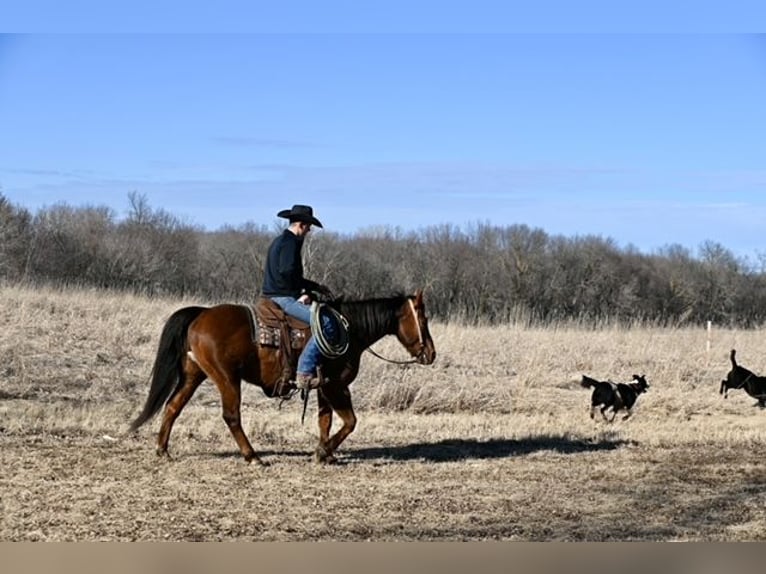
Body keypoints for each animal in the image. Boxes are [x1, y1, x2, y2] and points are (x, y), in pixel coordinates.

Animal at [129, 290, 436, 466]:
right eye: (423, 319)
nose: (431, 354)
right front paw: (323, 452)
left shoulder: (323, 388)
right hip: (227, 378)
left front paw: (324, 453)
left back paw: (162, 450)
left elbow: (325, 421)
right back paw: (252, 457)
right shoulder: (337, 387)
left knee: (172, 406)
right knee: (231, 416)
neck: (348, 330)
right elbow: (350, 422)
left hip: (194, 375)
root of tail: (200, 314)